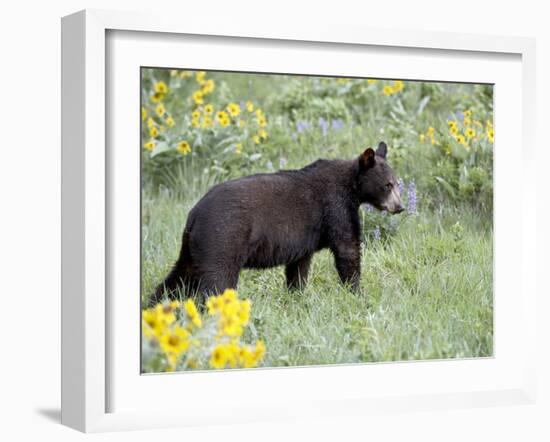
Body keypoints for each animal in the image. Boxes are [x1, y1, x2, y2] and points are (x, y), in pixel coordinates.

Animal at [150, 142, 406, 308]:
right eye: (388, 185)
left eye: (397, 183)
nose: (400, 206)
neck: (352, 187)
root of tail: (194, 215)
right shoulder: (335, 207)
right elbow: (347, 248)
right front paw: (357, 292)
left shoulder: (305, 239)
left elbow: (299, 267)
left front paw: (296, 295)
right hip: (222, 238)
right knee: (217, 281)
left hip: (193, 247)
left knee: (178, 277)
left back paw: (155, 306)